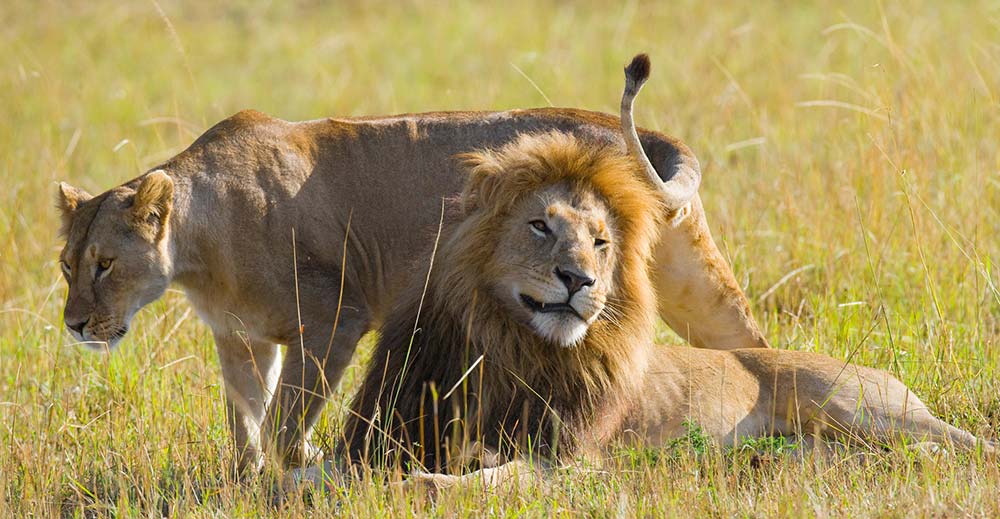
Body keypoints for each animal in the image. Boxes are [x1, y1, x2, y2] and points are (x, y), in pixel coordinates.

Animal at [55, 56, 766, 474]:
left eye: (105, 264)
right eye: (67, 266)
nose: (74, 325)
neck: (201, 250)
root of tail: (642, 137)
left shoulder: (332, 320)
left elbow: (287, 418)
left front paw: (305, 464)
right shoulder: (241, 340)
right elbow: (245, 424)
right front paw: (247, 482)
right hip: (693, 286)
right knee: (747, 345)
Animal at [338, 55, 996, 491]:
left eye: (602, 243)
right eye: (540, 226)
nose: (581, 282)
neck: (508, 346)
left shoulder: (567, 459)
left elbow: (459, 482)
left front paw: (404, 490)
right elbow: (330, 470)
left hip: (862, 408)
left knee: (964, 447)